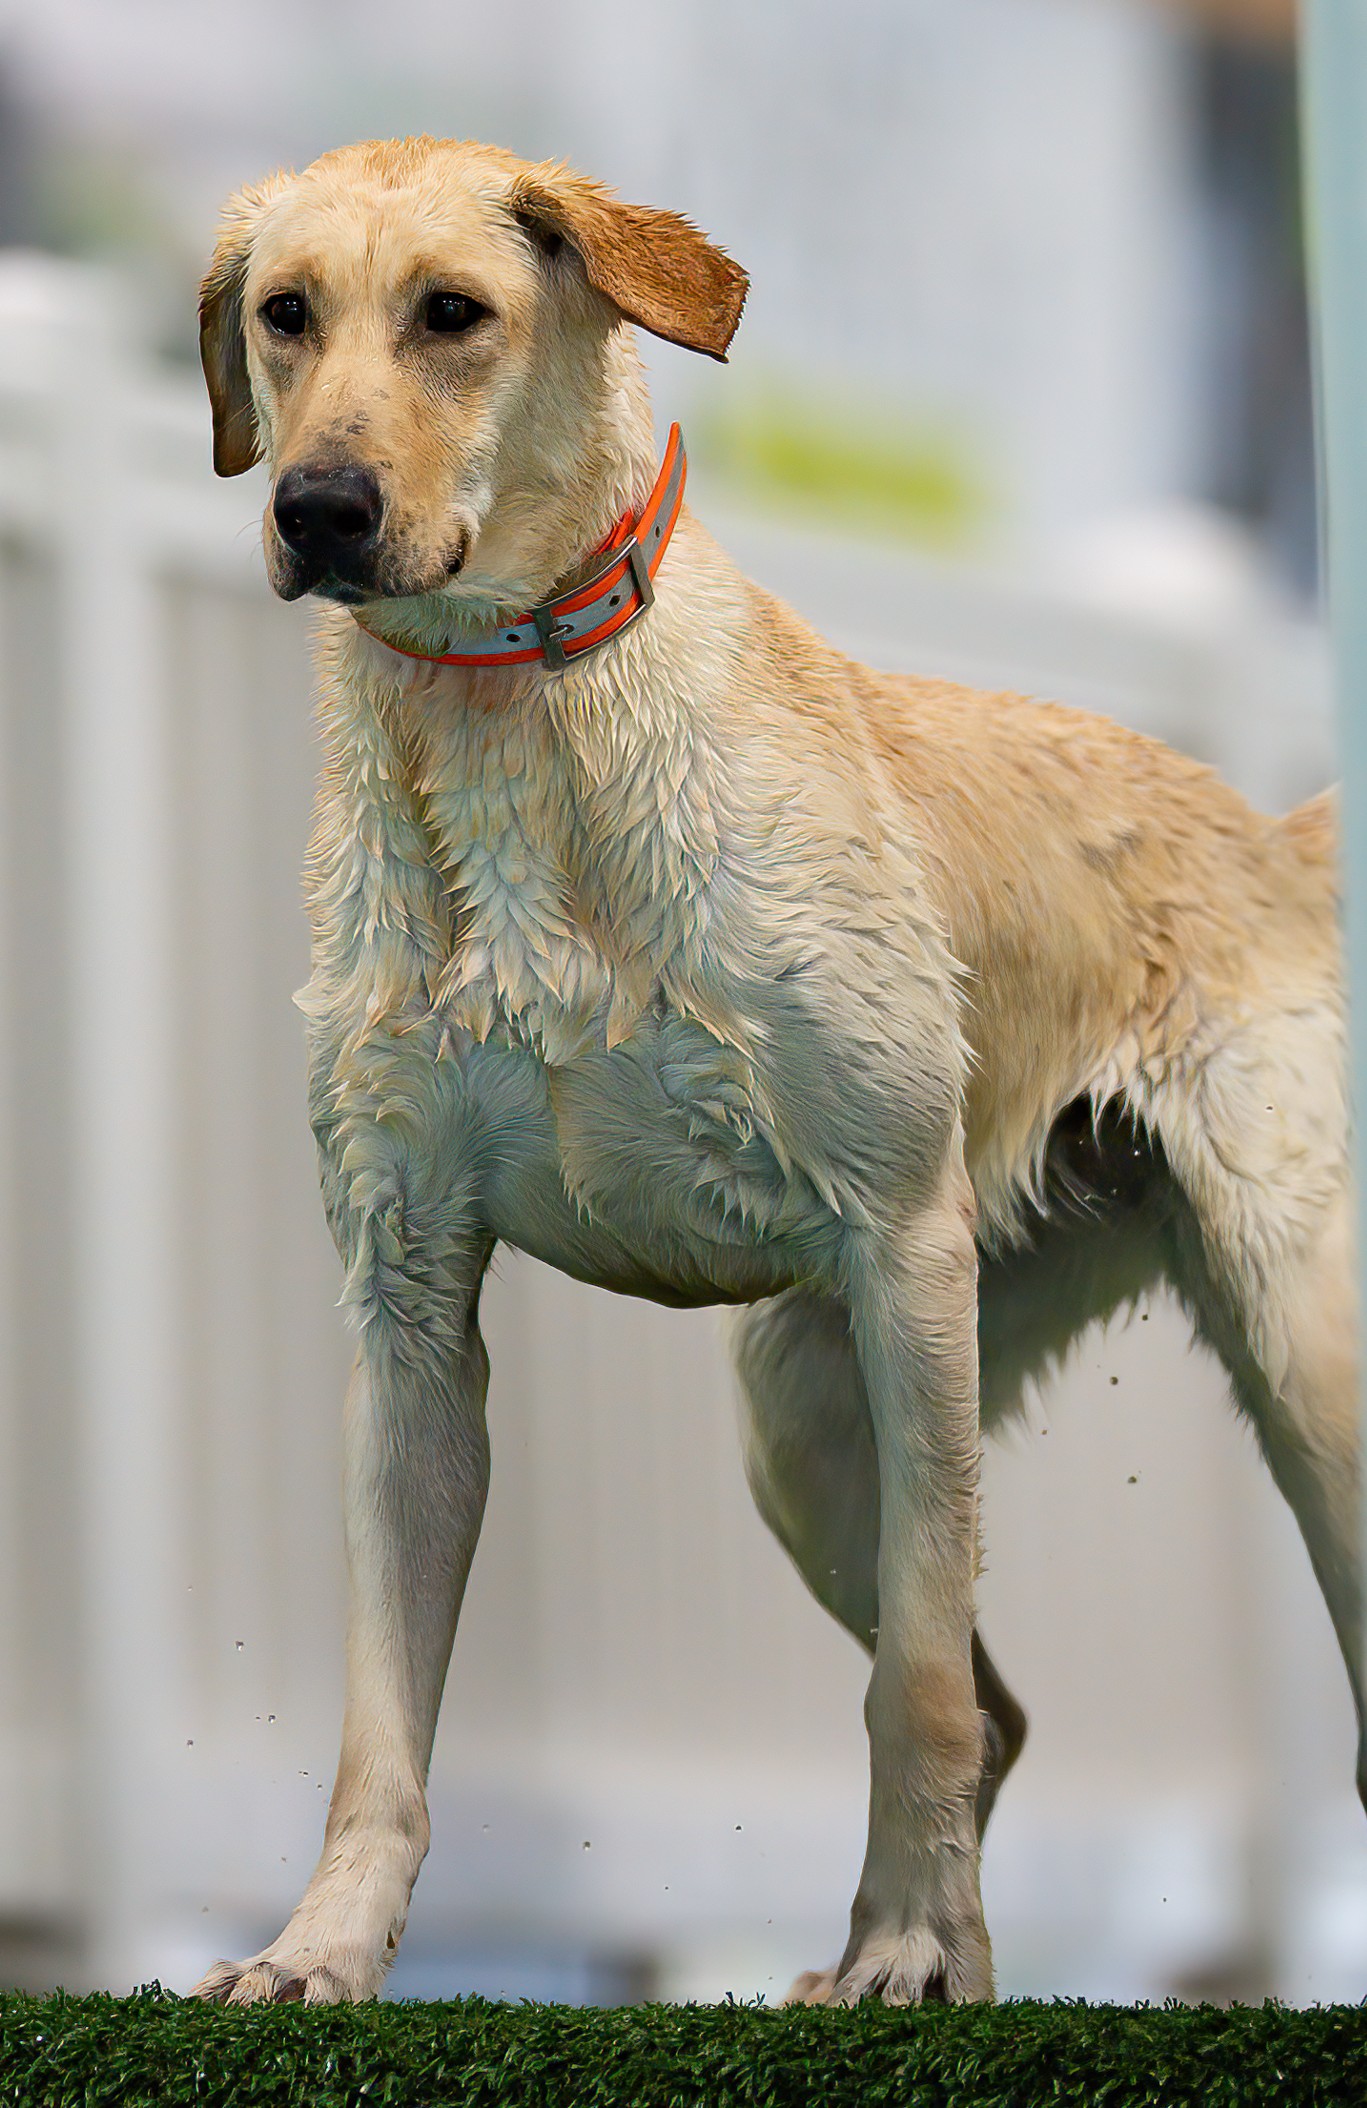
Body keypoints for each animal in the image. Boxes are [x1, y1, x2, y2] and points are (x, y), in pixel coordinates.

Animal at [190, 136, 1357, 2007]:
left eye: (453, 313)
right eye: (285, 315)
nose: (317, 510)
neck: (520, 720)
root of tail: (1257, 828)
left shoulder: (902, 1247)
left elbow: (916, 1682)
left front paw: (908, 1953)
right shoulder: (406, 1307)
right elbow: (381, 1732)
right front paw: (317, 1955)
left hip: (1286, 1355)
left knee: (973, 1682)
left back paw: (916, 1941)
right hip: (799, 1422)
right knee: (999, 1708)